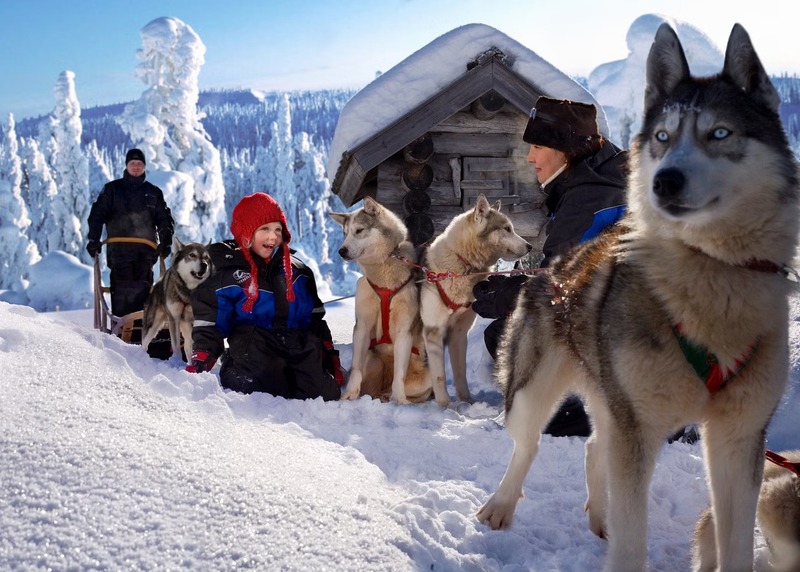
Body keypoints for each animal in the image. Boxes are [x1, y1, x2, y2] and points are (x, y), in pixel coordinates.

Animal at [330, 199, 434, 404]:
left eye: (359, 230)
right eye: (345, 233)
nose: (341, 251)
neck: (383, 280)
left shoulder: (404, 331)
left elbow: (399, 375)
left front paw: (400, 400)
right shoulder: (362, 327)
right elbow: (356, 368)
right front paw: (349, 395)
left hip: (426, 378)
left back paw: (391, 397)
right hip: (373, 359)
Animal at [418, 194, 532, 408]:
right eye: (507, 228)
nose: (531, 247)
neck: (463, 264)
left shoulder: (459, 334)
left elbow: (460, 373)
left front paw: (466, 401)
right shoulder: (433, 332)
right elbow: (439, 376)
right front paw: (445, 405)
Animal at [476, 23, 800, 572]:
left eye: (720, 133)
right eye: (663, 137)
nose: (664, 180)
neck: (709, 280)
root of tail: (553, 266)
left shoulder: (738, 440)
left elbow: (734, 540)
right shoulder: (638, 431)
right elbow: (632, 542)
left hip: (612, 398)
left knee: (592, 447)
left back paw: (599, 517)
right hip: (536, 389)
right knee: (528, 445)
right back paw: (501, 505)